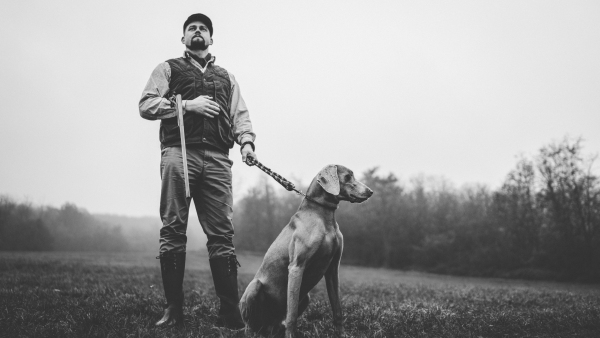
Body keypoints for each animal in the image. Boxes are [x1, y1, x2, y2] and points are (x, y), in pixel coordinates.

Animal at [240, 164, 372, 336]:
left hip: (306, 298)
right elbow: (292, 315)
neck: (323, 215)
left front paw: (342, 334)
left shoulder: (332, 269)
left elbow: (337, 310)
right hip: (254, 287)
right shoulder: (297, 266)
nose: (370, 191)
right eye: (348, 177)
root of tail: (268, 327)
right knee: (250, 325)